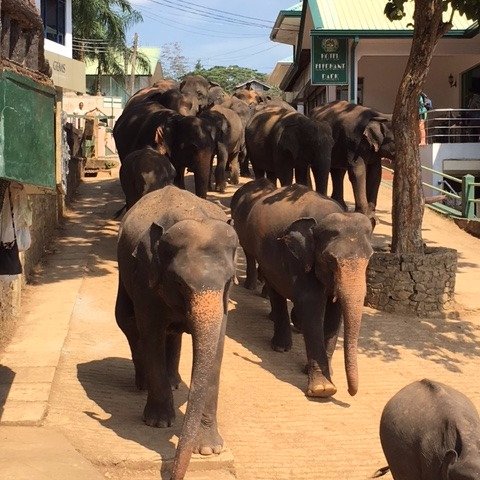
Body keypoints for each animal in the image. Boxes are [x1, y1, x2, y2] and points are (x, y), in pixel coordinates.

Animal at [115, 185, 238, 480]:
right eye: (180, 283)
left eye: (229, 280)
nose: (172, 475)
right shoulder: (145, 279)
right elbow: (151, 334)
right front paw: (158, 423)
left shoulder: (224, 302)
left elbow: (216, 348)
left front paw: (210, 450)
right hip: (123, 272)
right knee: (127, 322)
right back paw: (142, 384)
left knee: (173, 333)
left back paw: (174, 382)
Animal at [231, 180, 374, 398]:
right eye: (330, 260)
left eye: (369, 258)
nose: (351, 392)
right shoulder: (299, 261)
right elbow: (312, 307)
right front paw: (323, 389)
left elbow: (335, 314)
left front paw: (321, 373)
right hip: (266, 257)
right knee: (275, 289)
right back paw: (281, 346)